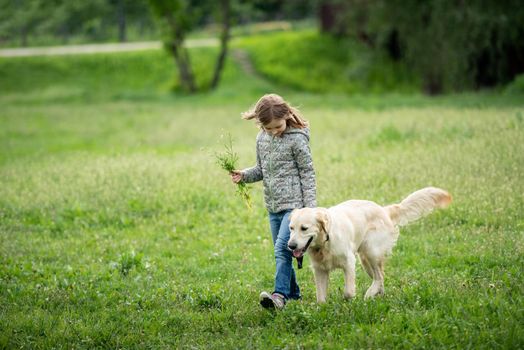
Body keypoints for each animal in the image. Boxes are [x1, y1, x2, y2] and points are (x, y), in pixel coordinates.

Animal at [286, 187, 450, 302]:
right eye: (291, 228)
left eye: (304, 228)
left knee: (379, 276)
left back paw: (369, 294)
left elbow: (348, 292)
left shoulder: (349, 262)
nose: (291, 246)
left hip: (371, 252)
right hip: (365, 260)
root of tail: (383, 209)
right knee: (380, 277)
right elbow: (320, 298)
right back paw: (378, 296)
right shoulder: (320, 269)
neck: (326, 240)